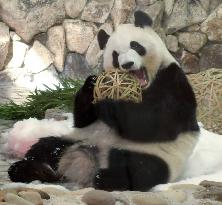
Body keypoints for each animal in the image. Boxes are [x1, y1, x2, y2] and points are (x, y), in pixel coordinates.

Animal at [8, 10, 199, 191]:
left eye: (136, 46)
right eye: (115, 55)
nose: (127, 64)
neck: (145, 86)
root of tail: (88, 163)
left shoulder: (173, 81)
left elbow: (157, 122)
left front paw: (109, 105)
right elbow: (82, 120)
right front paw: (91, 86)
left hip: (157, 154)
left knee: (142, 169)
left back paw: (106, 178)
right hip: (78, 139)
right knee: (47, 147)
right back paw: (25, 169)